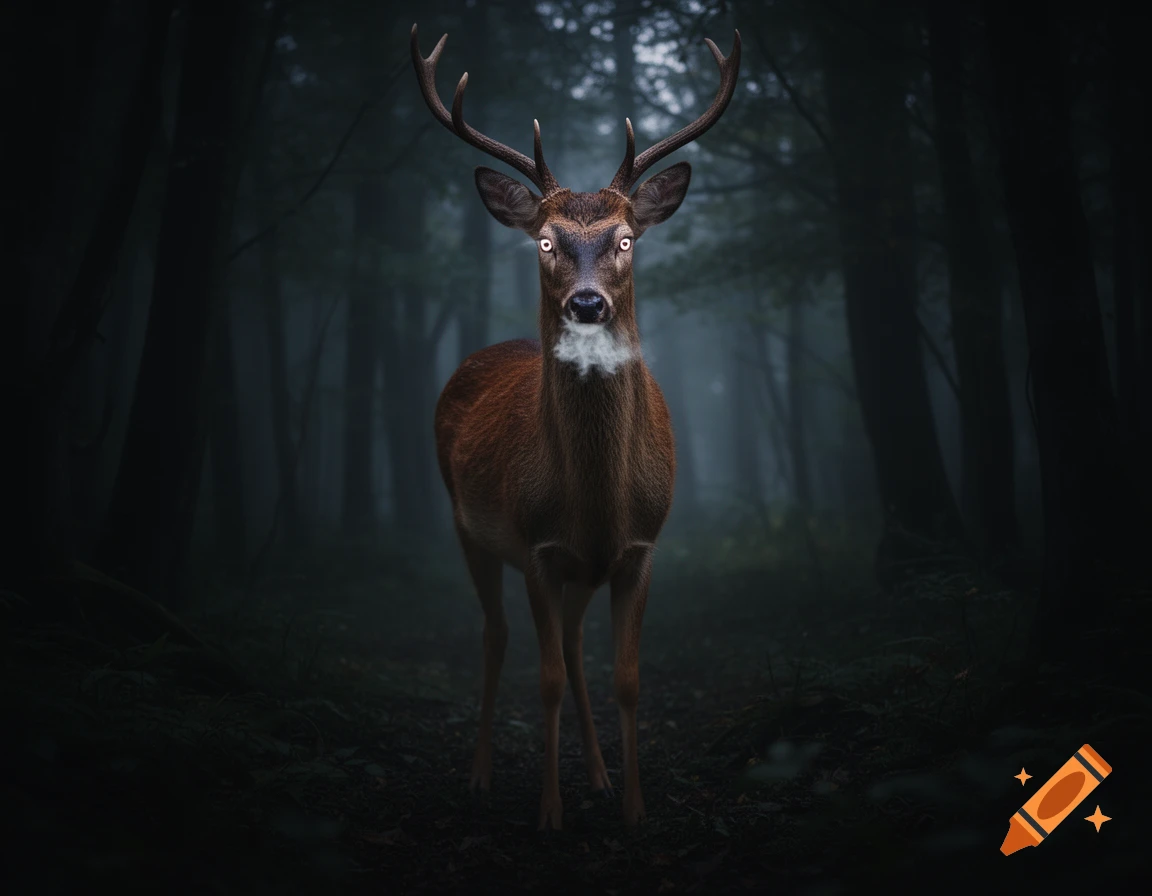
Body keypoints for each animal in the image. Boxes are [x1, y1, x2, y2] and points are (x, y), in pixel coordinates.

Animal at [411, 23, 740, 830]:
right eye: (545, 240)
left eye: (625, 238)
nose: (587, 303)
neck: (593, 501)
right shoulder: (536, 545)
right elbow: (549, 677)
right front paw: (549, 813)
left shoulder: (638, 547)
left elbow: (624, 677)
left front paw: (632, 806)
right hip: (468, 526)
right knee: (497, 638)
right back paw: (481, 774)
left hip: (578, 575)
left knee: (572, 636)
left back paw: (595, 775)